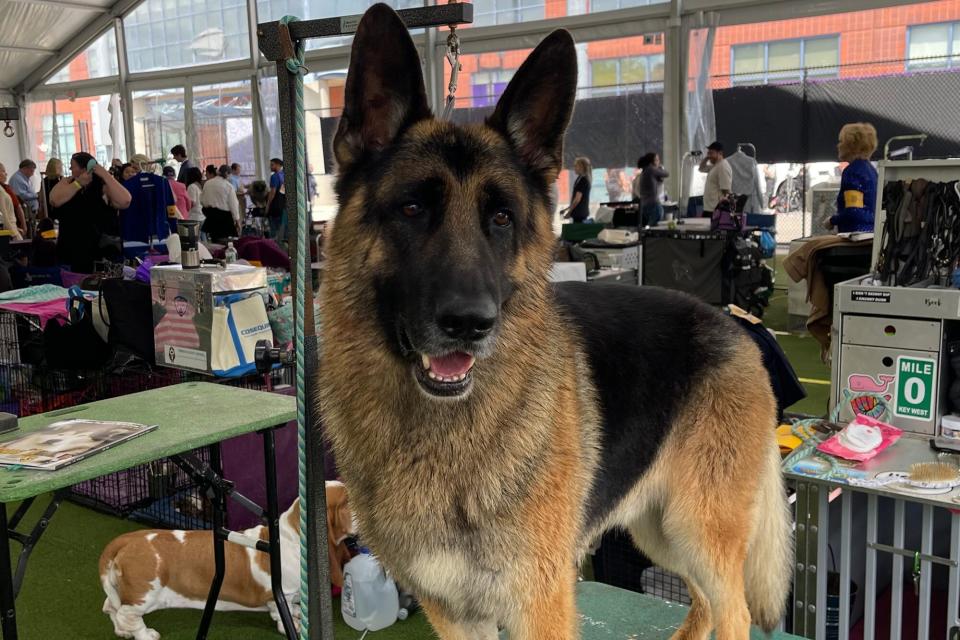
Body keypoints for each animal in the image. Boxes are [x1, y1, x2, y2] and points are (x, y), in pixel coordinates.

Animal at [318, 6, 792, 640]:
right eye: (412, 208)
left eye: (501, 218)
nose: (470, 324)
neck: (442, 432)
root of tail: (732, 322)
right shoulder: (455, 615)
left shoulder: (539, 604)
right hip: (661, 529)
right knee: (702, 601)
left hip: (697, 527)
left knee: (733, 609)